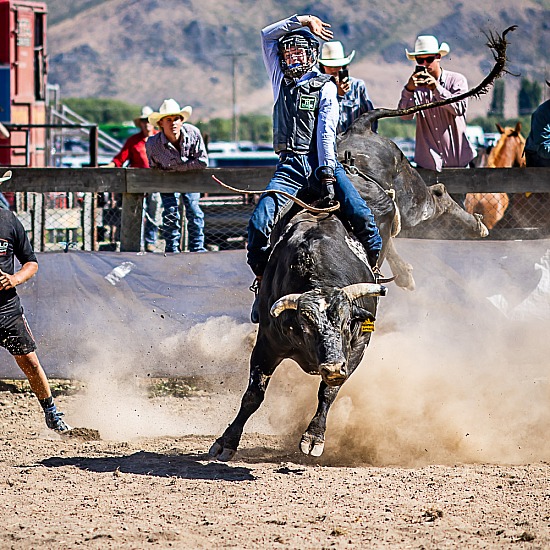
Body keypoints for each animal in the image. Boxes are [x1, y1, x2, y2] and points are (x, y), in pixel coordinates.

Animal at [209, 27, 516, 462]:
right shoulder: (267, 340)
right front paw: (226, 440)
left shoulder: (361, 343)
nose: (332, 363)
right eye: (306, 326)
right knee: (390, 238)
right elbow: (254, 394)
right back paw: (404, 272)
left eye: (343, 322)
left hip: (412, 196)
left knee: (437, 195)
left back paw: (475, 225)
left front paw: (314, 438)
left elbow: (330, 392)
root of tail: (360, 130)